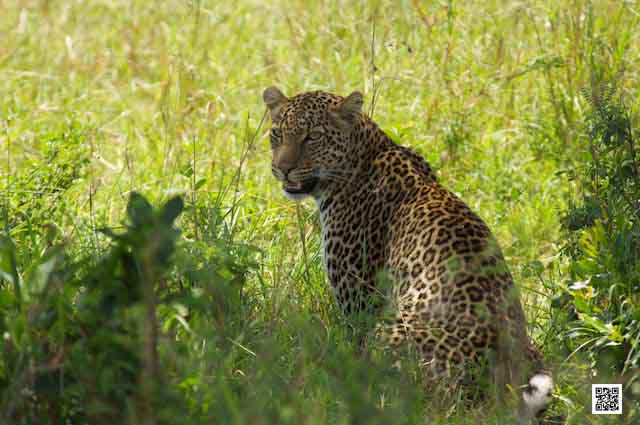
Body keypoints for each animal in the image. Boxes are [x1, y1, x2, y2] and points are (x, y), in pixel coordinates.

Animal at [262, 86, 552, 420]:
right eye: (277, 134)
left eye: (312, 137)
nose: (282, 170)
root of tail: (501, 380)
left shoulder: (359, 303)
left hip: (392, 333)